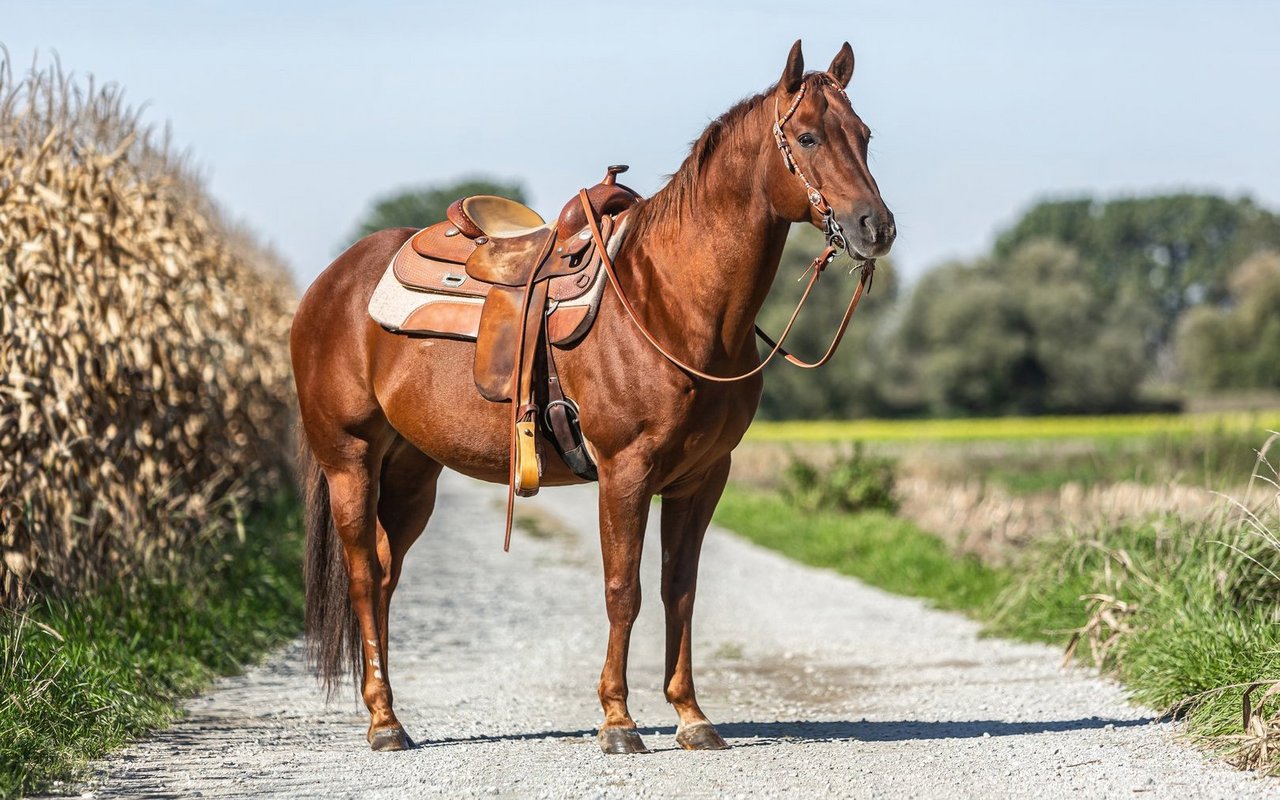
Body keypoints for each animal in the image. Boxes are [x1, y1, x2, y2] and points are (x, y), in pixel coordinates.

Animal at [290, 39, 896, 754]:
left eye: (864, 135)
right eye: (806, 136)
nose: (876, 227)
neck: (670, 303)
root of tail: (331, 282)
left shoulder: (702, 478)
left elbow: (679, 590)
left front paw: (691, 717)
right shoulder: (625, 471)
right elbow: (622, 588)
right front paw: (618, 721)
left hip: (411, 471)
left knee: (385, 574)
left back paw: (389, 714)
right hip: (349, 461)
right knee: (362, 575)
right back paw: (384, 723)